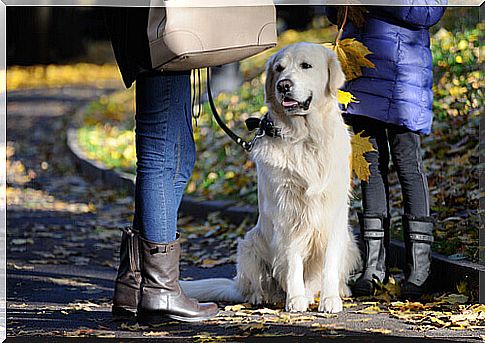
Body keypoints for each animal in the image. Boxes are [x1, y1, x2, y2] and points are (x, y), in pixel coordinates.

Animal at [181, 43, 360, 314]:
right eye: (279, 68)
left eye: (306, 66)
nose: (283, 85)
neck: (304, 138)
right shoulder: (286, 213)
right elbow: (293, 262)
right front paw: (295, 300)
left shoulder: (333, 214)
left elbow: (329, 264)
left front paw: (330, 300)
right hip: (249, 245)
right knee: (257, 285)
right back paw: (263, 297)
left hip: (349, 239)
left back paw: (337, 291)